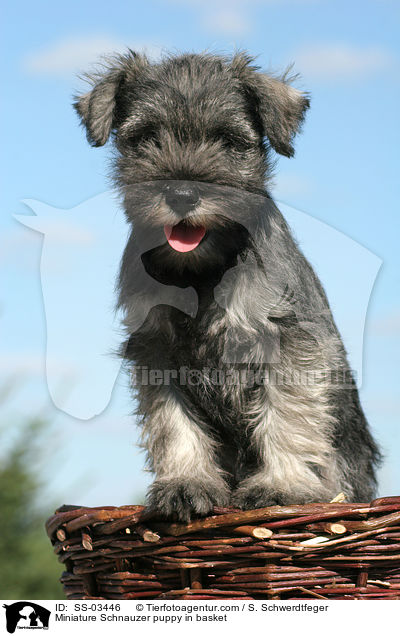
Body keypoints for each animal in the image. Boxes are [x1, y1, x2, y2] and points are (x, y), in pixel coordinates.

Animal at [74, 49, 382, 516]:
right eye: (145, 137)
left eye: (229, 140)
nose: (182, 195)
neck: (201, 272)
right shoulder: (157, 352)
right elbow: (174, 423)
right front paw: (186, 484)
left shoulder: (289, 341)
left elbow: (287, 414)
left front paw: (282, 487)